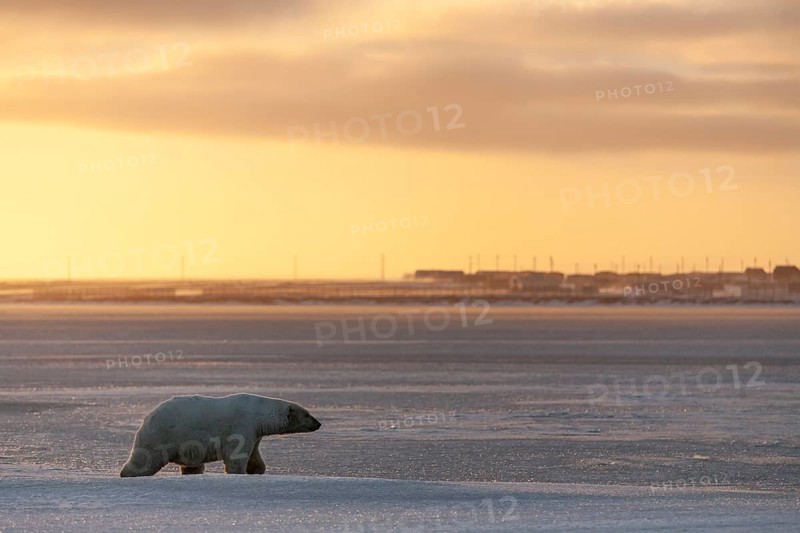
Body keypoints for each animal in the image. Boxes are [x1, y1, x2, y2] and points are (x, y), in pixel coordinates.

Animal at [120, 393, 321, 477]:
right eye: (307, 414)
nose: (318, 424)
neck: (259, 413)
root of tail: (147, 417)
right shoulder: (242, 424)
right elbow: (236, 454)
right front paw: (238, 472)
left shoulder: (255, 432)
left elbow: (254, 454)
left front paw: (257, 469)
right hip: (163, 434)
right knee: (145, 458)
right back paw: (127, 473)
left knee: (192, 463)